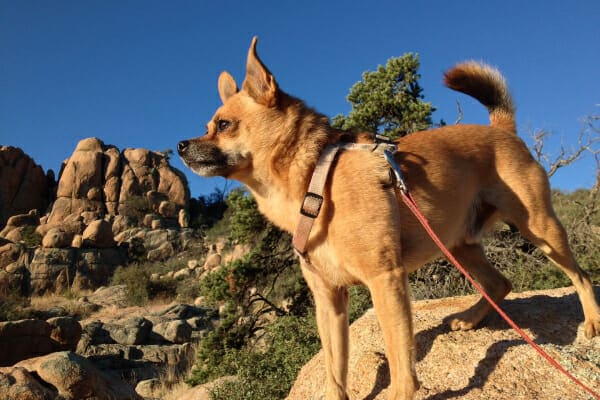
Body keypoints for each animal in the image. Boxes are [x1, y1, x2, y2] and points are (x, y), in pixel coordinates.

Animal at [179, 36, 600, 396]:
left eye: (223, 124)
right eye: (208, 126)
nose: (181, 146)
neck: (316, 176)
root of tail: (503, 130)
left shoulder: (385, 281)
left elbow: (401, 364)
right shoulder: (329, 301)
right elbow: (335, 371)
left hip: (540, 229)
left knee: (580, 275)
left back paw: (592, 321)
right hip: (458, 245)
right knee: (499, 283)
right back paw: (469, 318)